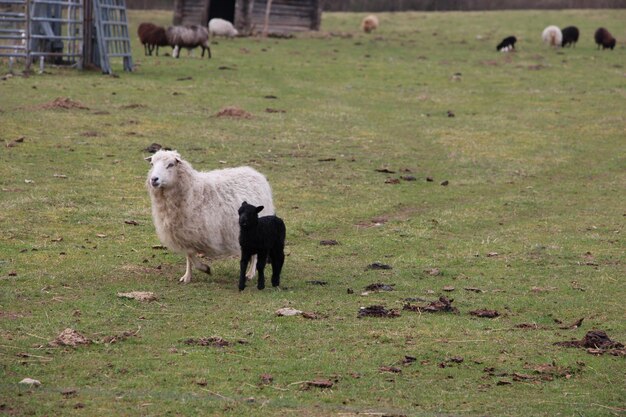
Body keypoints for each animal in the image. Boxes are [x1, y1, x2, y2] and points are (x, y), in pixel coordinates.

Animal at [147, 151, 274, 284]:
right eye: (152, 164)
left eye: (171, 164)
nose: (153, 179)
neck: (193, 192)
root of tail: (255, 173)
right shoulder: (185, 233)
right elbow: (189, 255)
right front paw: (187, 276)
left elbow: (191, 256)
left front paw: (205, 269)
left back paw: (250, 273)